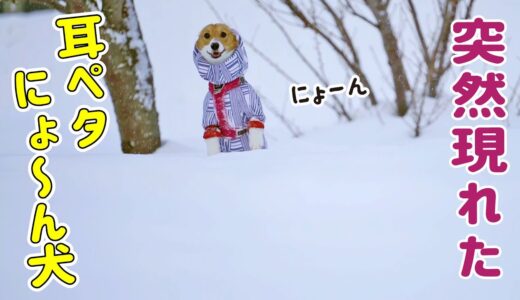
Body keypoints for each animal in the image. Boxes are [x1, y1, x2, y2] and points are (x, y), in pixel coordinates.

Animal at [193, 24, 266, 155]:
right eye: (206, 35)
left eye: (223, 34)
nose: (214, 45)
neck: (222, 85)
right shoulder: (209, 119)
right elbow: (212, 137)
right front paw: (214, 156)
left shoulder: (254, 110)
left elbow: (255, 126)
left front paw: (256, 146)